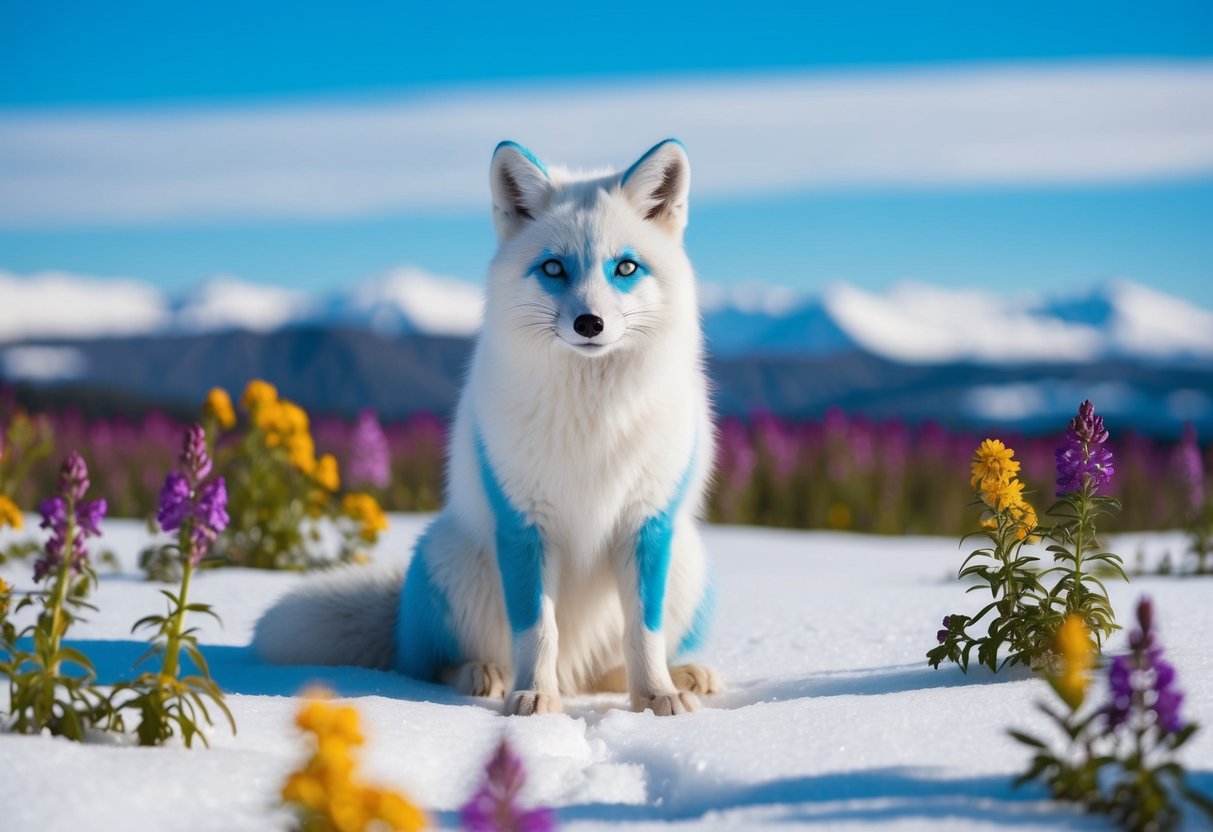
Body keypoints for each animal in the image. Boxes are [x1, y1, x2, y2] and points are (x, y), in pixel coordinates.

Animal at [253, 139, 719, 716]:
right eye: (553, 267)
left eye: (626, 267)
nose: (590, 324)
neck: (593, 415)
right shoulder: (522, 524)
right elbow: (537, 631)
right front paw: (534, 696)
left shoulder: (648, 524)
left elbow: (643, 634)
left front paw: (656, 697)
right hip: (451, 558)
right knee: (430, 663)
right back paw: (485, 675)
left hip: (686, 563)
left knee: (605, 669)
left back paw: (683, 673)